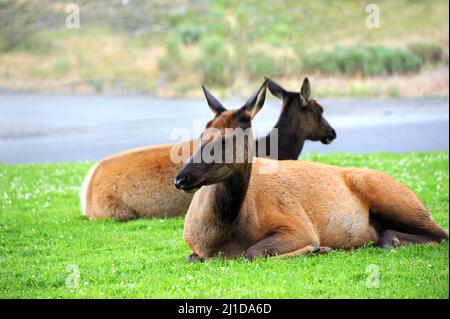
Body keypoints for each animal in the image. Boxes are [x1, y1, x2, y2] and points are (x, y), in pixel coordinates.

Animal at [175, 79, 446, 262]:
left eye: (224, 140)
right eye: (200, 136)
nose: (181, 179)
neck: (219, 238)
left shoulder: (299, 226)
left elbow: (251, 253)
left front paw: (317, 248)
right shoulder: (193, 247)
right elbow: (194, 257)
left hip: (396, 199)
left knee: (441, 234)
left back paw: (388, 240)